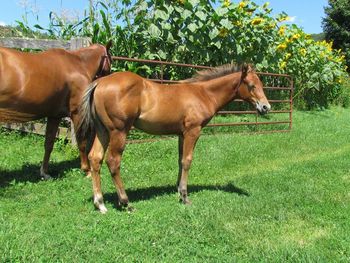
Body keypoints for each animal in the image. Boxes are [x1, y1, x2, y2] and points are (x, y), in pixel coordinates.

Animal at [0, 41, 112, 179]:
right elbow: (82, 142)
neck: (78, 64)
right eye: (110, 59)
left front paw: (44, 172)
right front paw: (87, 170)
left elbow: (49, 143)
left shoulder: (54, 116)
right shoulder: (77, 113)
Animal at [78, 64, 272, 214]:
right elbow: (187, 161)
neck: (203, 93)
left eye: (261, 84)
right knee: (113, 161)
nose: (266, 107)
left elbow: (180, 160)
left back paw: (100, 204)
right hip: (118, 131)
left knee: (95, 158)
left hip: (103, 130)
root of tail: (100, 82)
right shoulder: (193, 131)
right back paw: (125, 202)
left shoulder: (181, 133)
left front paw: (179, 190)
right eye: (251, 85)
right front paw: (185, 197)